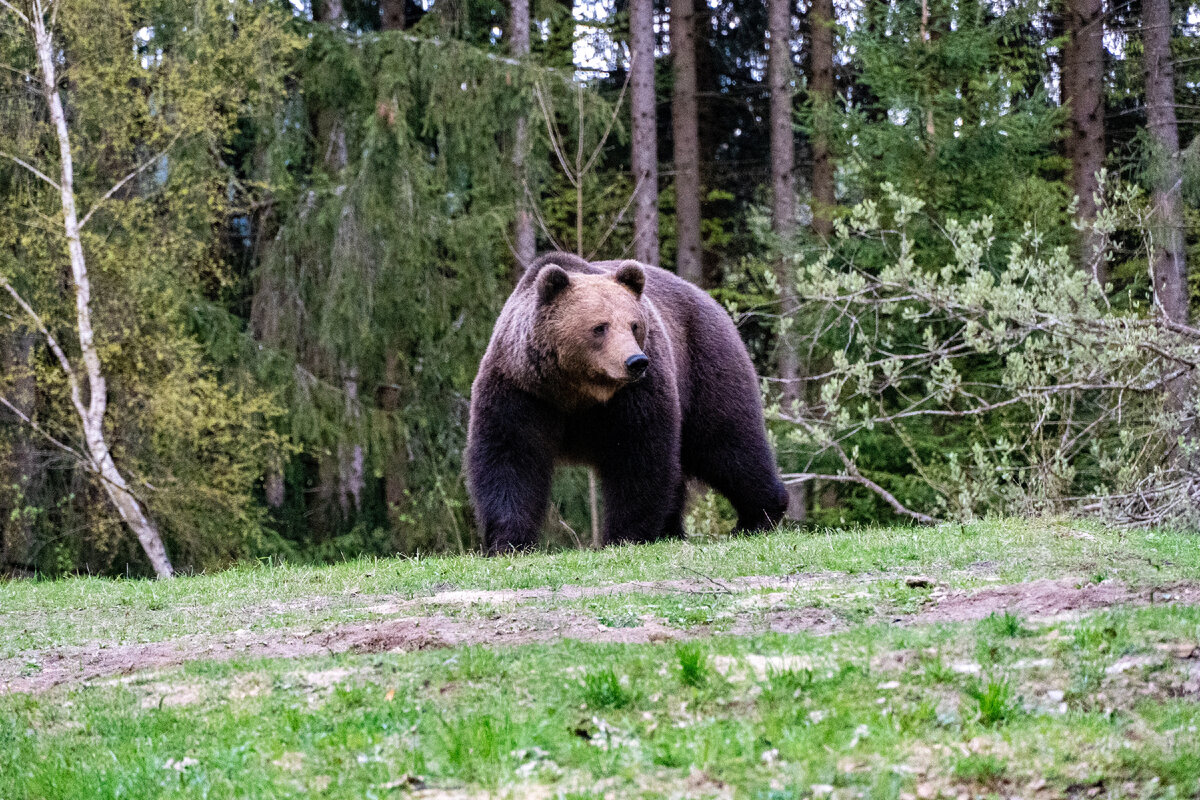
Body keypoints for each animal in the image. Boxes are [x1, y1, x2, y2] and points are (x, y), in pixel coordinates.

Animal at [465, 253, 787, 554]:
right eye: (600, 327)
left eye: (634, 325)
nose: (635, 361)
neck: (576, 390)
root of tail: (709, 299)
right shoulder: (522, 390)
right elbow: (510, 456)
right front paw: (507, 541)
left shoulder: (635, 395)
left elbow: (638, 457)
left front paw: (625, 535)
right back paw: (673, 530)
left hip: (704, 367)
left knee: (728, 446)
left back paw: (759, 516)